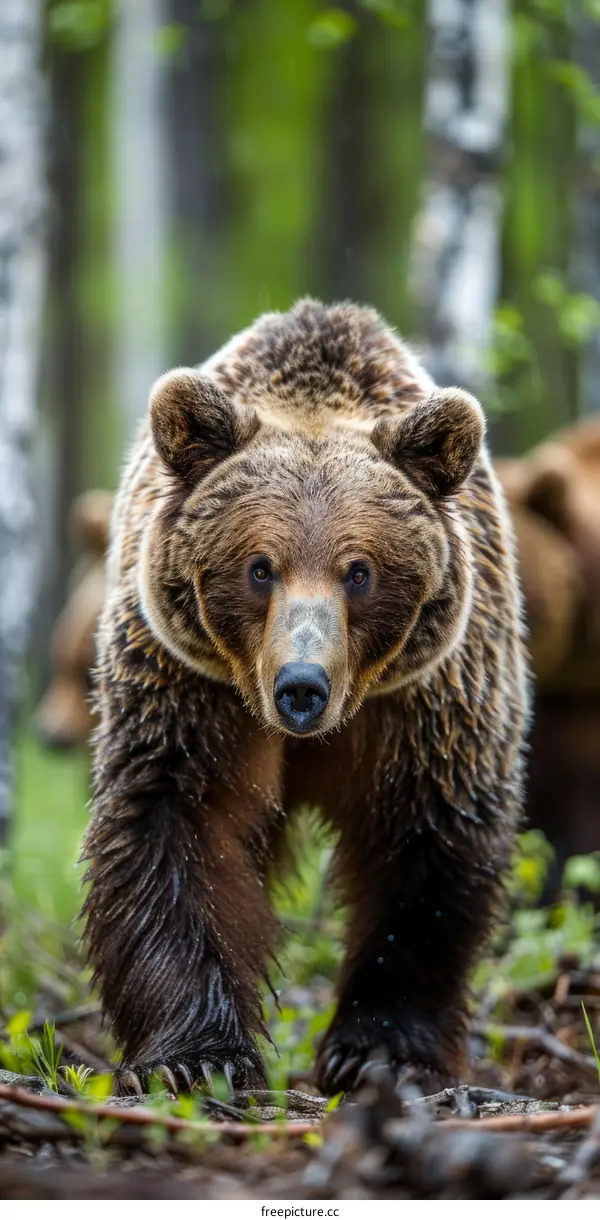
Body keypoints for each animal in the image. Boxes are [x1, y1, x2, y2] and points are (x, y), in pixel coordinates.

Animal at [81, 299, 529, 1097]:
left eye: (360, 571)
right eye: (259, 567)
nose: (301, 687)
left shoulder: (428, 699)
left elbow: (427, 841)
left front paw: (379, 1050)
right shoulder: (188, 688)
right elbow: (172, 826)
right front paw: (199, 1056)